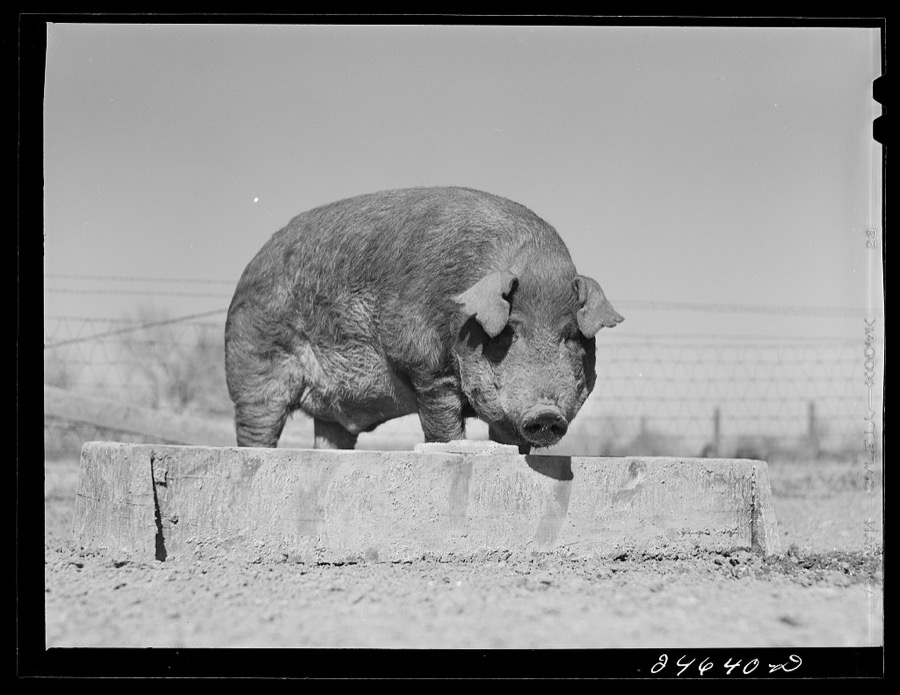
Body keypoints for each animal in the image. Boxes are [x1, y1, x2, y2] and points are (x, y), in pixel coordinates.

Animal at [224, 186, 623, 454]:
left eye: (570, 336)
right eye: (509, 331)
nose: (547, 413)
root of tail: (250, 267)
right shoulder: (424, 365)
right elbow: (442, 420)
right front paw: (458, 447)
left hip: (329, 413)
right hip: (255, 367)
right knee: (256, 426)